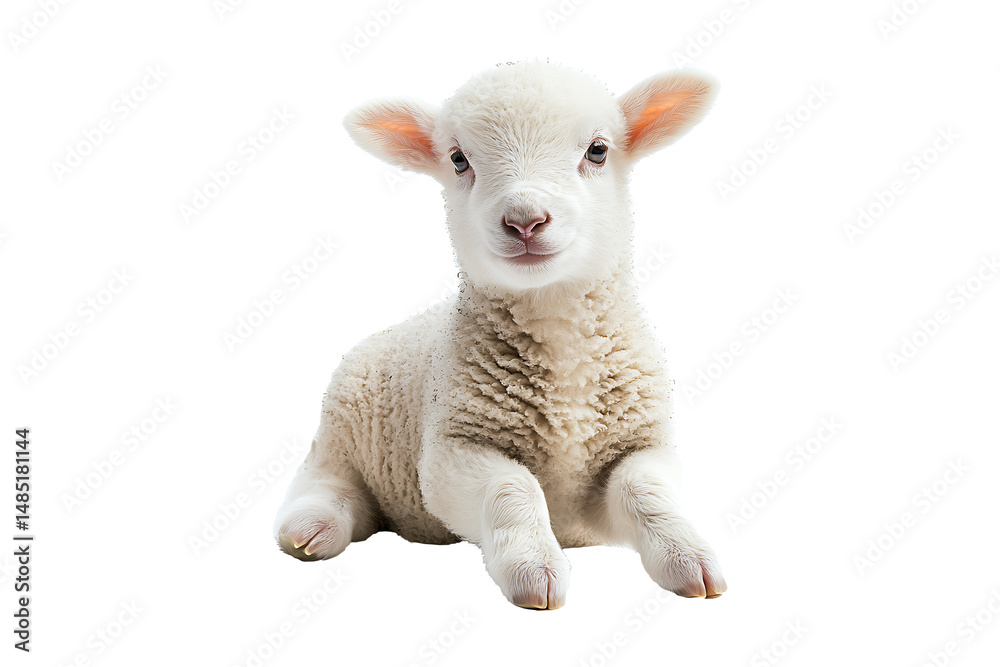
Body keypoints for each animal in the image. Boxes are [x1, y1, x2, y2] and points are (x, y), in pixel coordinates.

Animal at [274, 61, 726, 609]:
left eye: (598, 150)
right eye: (458, 159)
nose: (525, 220)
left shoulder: (640, 445)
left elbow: (648, 492)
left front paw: (689, 558)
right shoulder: (453, 449)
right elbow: (511, 487)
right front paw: (534, 569)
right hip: (341, 427)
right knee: (325, 477)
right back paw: (312, 527)